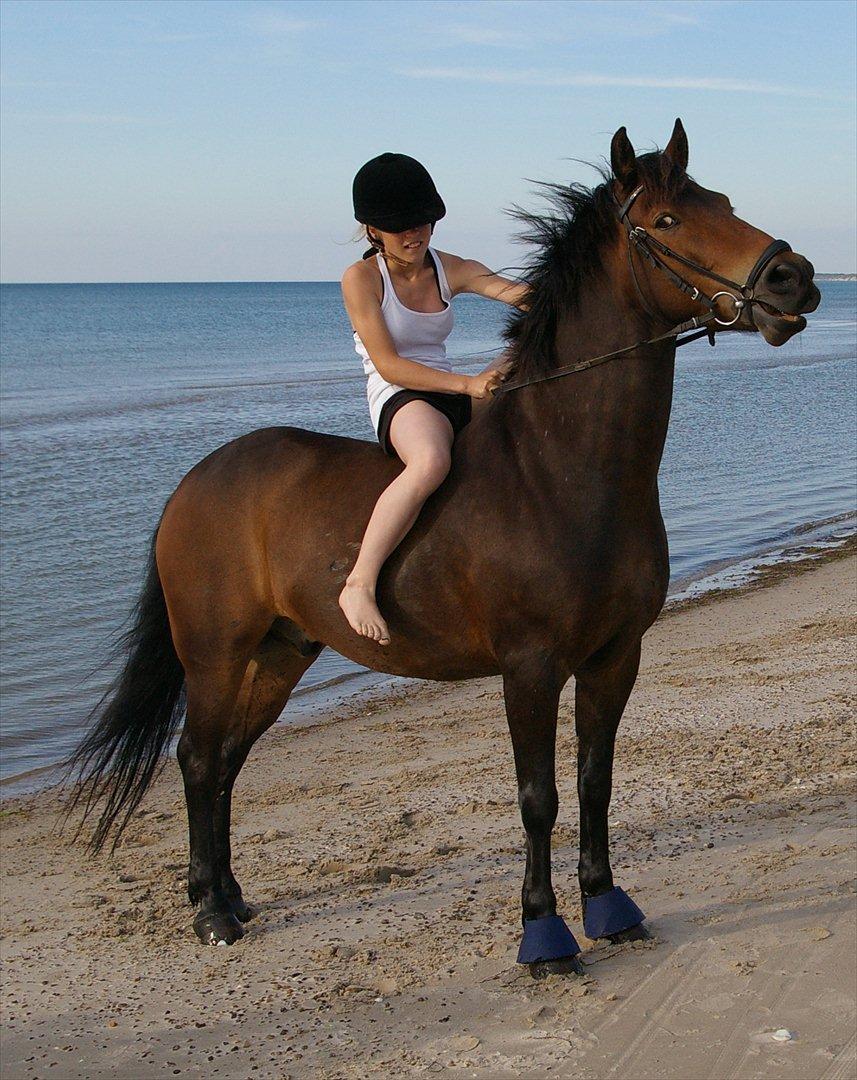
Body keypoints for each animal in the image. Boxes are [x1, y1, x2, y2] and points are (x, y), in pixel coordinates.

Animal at [69, 120, 819, 976]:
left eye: (720, 201)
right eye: (667, 221)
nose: (793, 280)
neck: (561, 469)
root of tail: (197, 480)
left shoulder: (615, 656)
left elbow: (593, 783)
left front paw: (608, 906)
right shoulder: (529, 666)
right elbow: (538, 798)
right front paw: (544, 934)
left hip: (280, 654)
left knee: (225, 763)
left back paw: (230, 896)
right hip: (216, 655)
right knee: (197, 760)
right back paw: (209, 913)